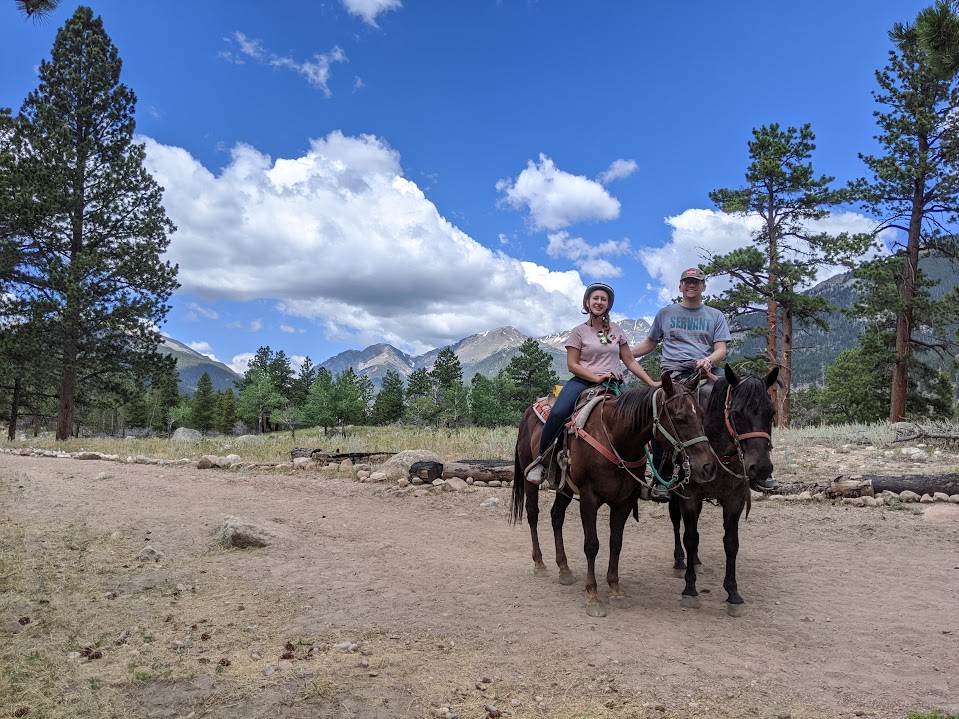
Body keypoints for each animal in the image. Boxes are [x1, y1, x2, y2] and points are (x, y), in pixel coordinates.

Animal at [512, 374, 716, 616]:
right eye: (681, 418)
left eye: (702, 415)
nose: (708, 467)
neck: (615, 437)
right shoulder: (589, 498)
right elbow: (592, 545)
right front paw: (593, 597)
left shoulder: (624, 501)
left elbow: (615, 543)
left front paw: (616, 591)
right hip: (530, 480)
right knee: (533, 514)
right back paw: (540, 564)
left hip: (565, 489)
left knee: (556, 517)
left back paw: (564, 569)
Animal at [668, 366, 780, 620]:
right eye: (737, 413)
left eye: (771, 413)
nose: (761, 469)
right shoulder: (688, 497)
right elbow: (690, 537)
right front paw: (690, 590)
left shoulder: (734, 500)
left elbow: (731, 543)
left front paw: (733, 594)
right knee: (677, 523)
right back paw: (680, 561)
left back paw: (696, 561)